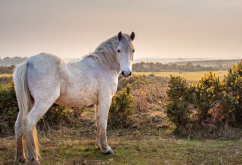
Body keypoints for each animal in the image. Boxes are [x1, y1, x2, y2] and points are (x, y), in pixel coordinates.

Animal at [13, 31, 135, 163]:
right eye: (118, 50)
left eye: (133, 50)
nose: (126, 73)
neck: (103, 66)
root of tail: (27, 62)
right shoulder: (105, 100)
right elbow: (103, 122)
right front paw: (106, 148)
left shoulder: (97, 103)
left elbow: (98, 122)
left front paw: (99, 145)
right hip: (42, 103)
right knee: (29, 122)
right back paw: (33, 157)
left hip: (28, 102)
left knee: (19, 125)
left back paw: (21, 157)